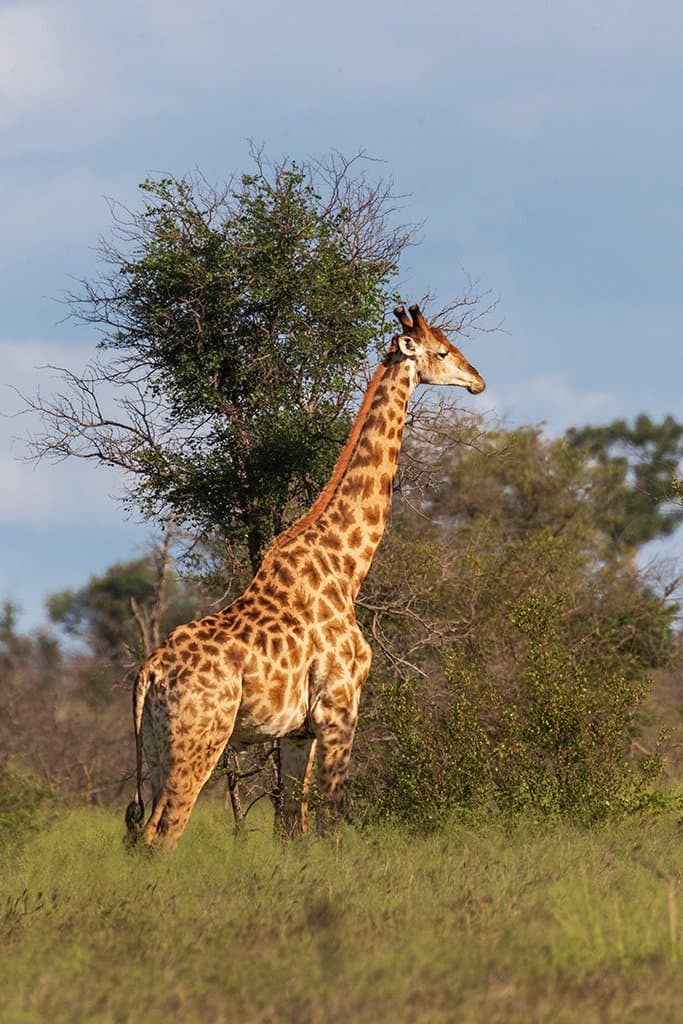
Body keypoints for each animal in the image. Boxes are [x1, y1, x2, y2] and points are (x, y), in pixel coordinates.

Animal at [125, 304, 485, 847]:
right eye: (442, 352)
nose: (478, 379)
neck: (346, 569)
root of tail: (150, 671)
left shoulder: (297, 732)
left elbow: (292, 829)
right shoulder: (341, 709)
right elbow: (333, 818)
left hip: (154, 748)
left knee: (138, 834)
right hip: (199, 739)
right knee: (164, 834)